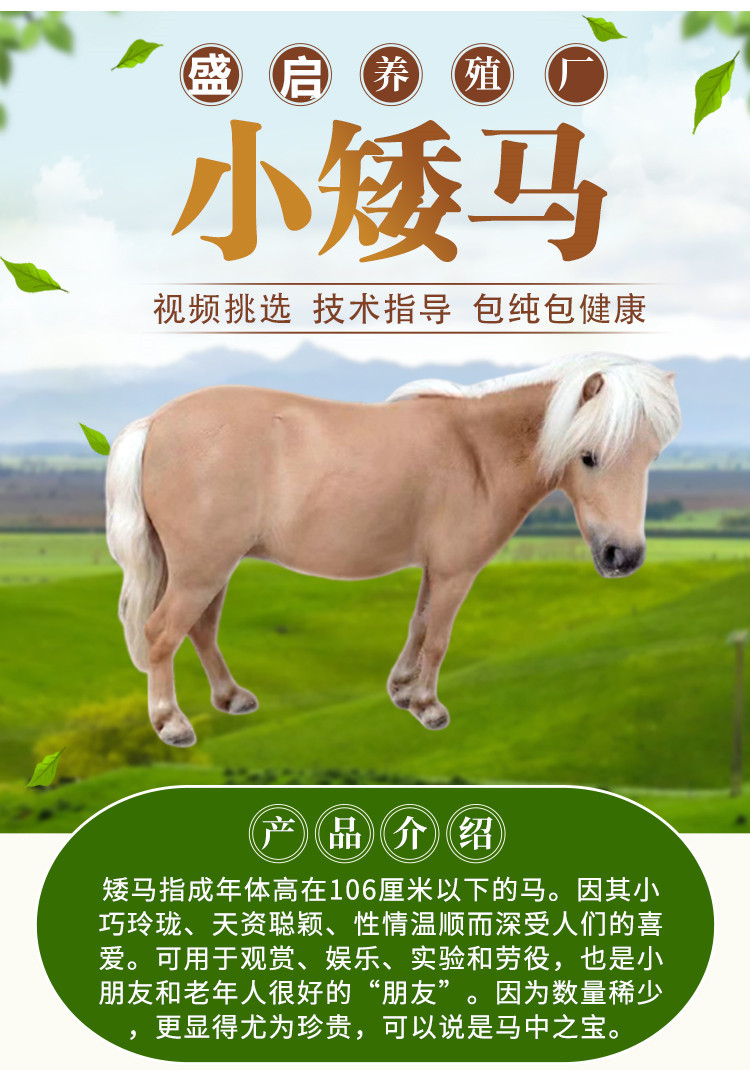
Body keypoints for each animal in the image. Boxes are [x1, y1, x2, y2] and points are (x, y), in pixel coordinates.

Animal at [105, 352, 681, 748]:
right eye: (589, 455)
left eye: (652, 456)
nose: (623, 556)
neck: (477, 451)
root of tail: (156, 423)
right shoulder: (455, 572)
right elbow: (439, 639)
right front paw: (427, 706)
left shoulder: (435, 568)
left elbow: (419, 626)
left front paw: (402, 689)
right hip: (200, 570)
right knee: (162, 633)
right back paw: (171, 722)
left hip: (211, 569)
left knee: (201, 630)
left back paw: (230, 697)